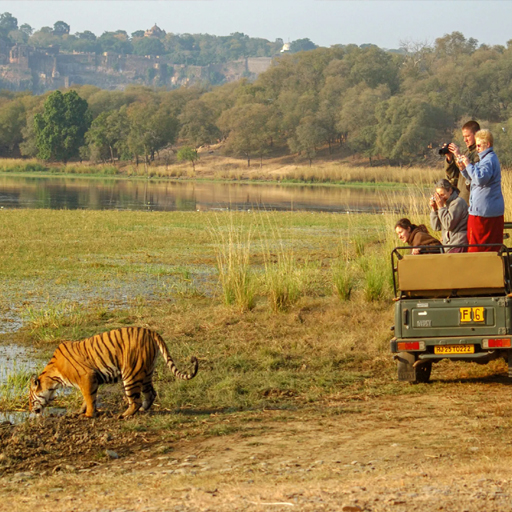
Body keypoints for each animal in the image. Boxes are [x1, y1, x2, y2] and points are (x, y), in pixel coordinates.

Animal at [29, 327, 198, 418]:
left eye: (30, 399)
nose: (30, 410)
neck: (53, 377)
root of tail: (151, 331)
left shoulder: (87, 378)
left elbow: (89, 398)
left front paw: (88, 415)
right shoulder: (89, 381)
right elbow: (87, 399)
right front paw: (80, 412)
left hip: (131, 374)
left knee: (135, 400)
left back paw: (124, 415)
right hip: (146, 372)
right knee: (150, 394)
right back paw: (143, 409)